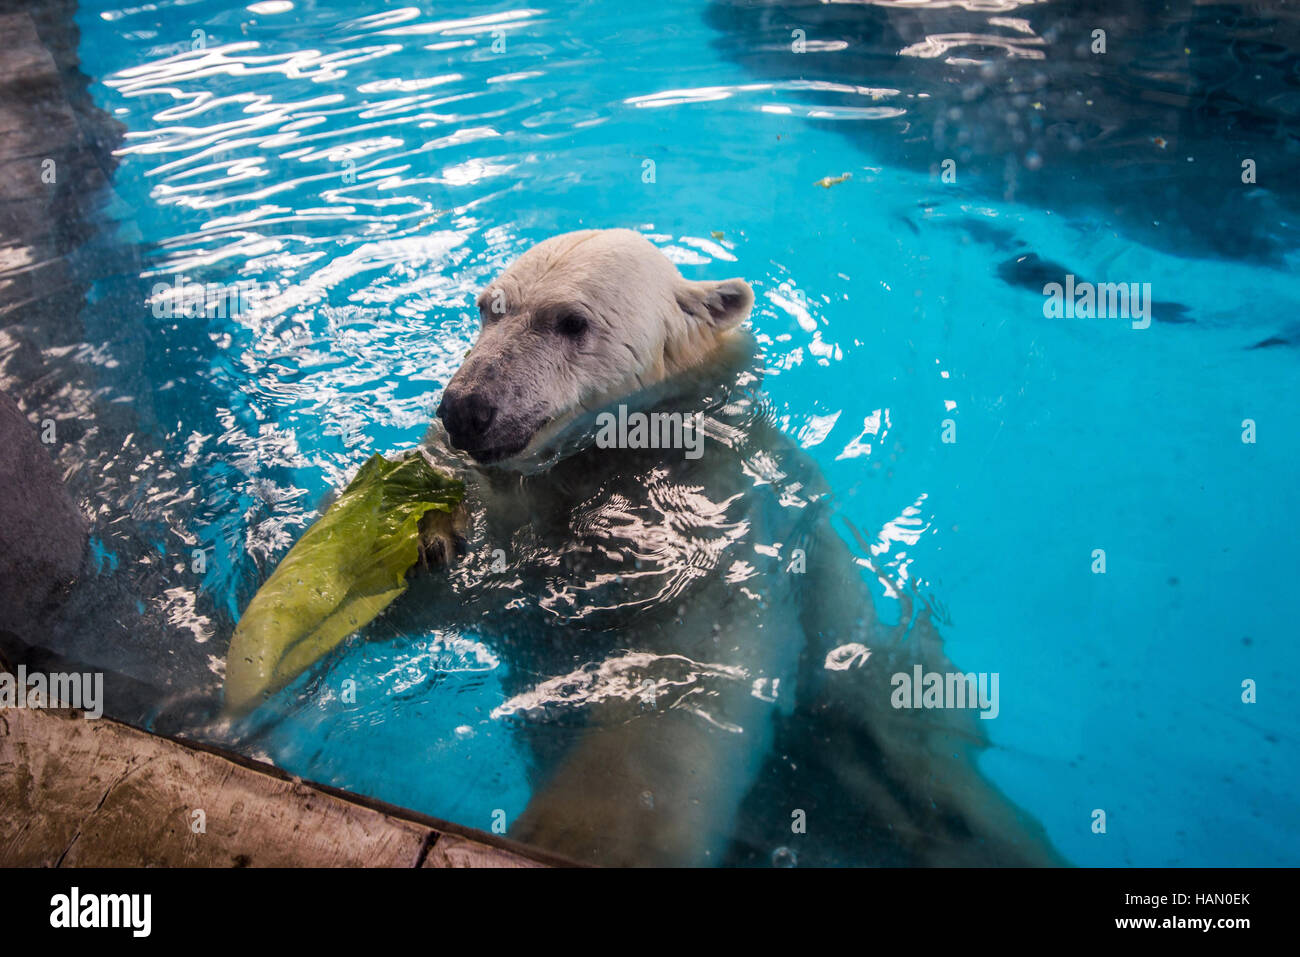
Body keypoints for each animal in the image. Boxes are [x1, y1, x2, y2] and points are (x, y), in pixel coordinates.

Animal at [410, 226, 1060, 868]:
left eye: (570, 321)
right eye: (487, 308)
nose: (466, 409)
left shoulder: (719, 533)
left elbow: (681, 680)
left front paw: (576, 833)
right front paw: (425, 538)